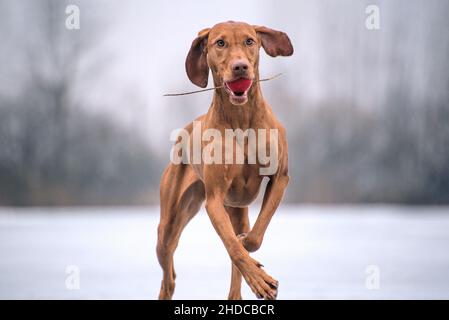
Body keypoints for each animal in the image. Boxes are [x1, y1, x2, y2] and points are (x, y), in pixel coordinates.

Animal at [156, 21, 292, 298]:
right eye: (220, 43)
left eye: (250, 41)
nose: (240, 66)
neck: (241, 119)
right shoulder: (215, 199)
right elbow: (234, 246)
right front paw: (260, 279)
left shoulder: (280, 178)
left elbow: (252, 239)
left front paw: (251, 256)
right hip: (170, 224)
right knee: (168, 277)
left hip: (235, 210)